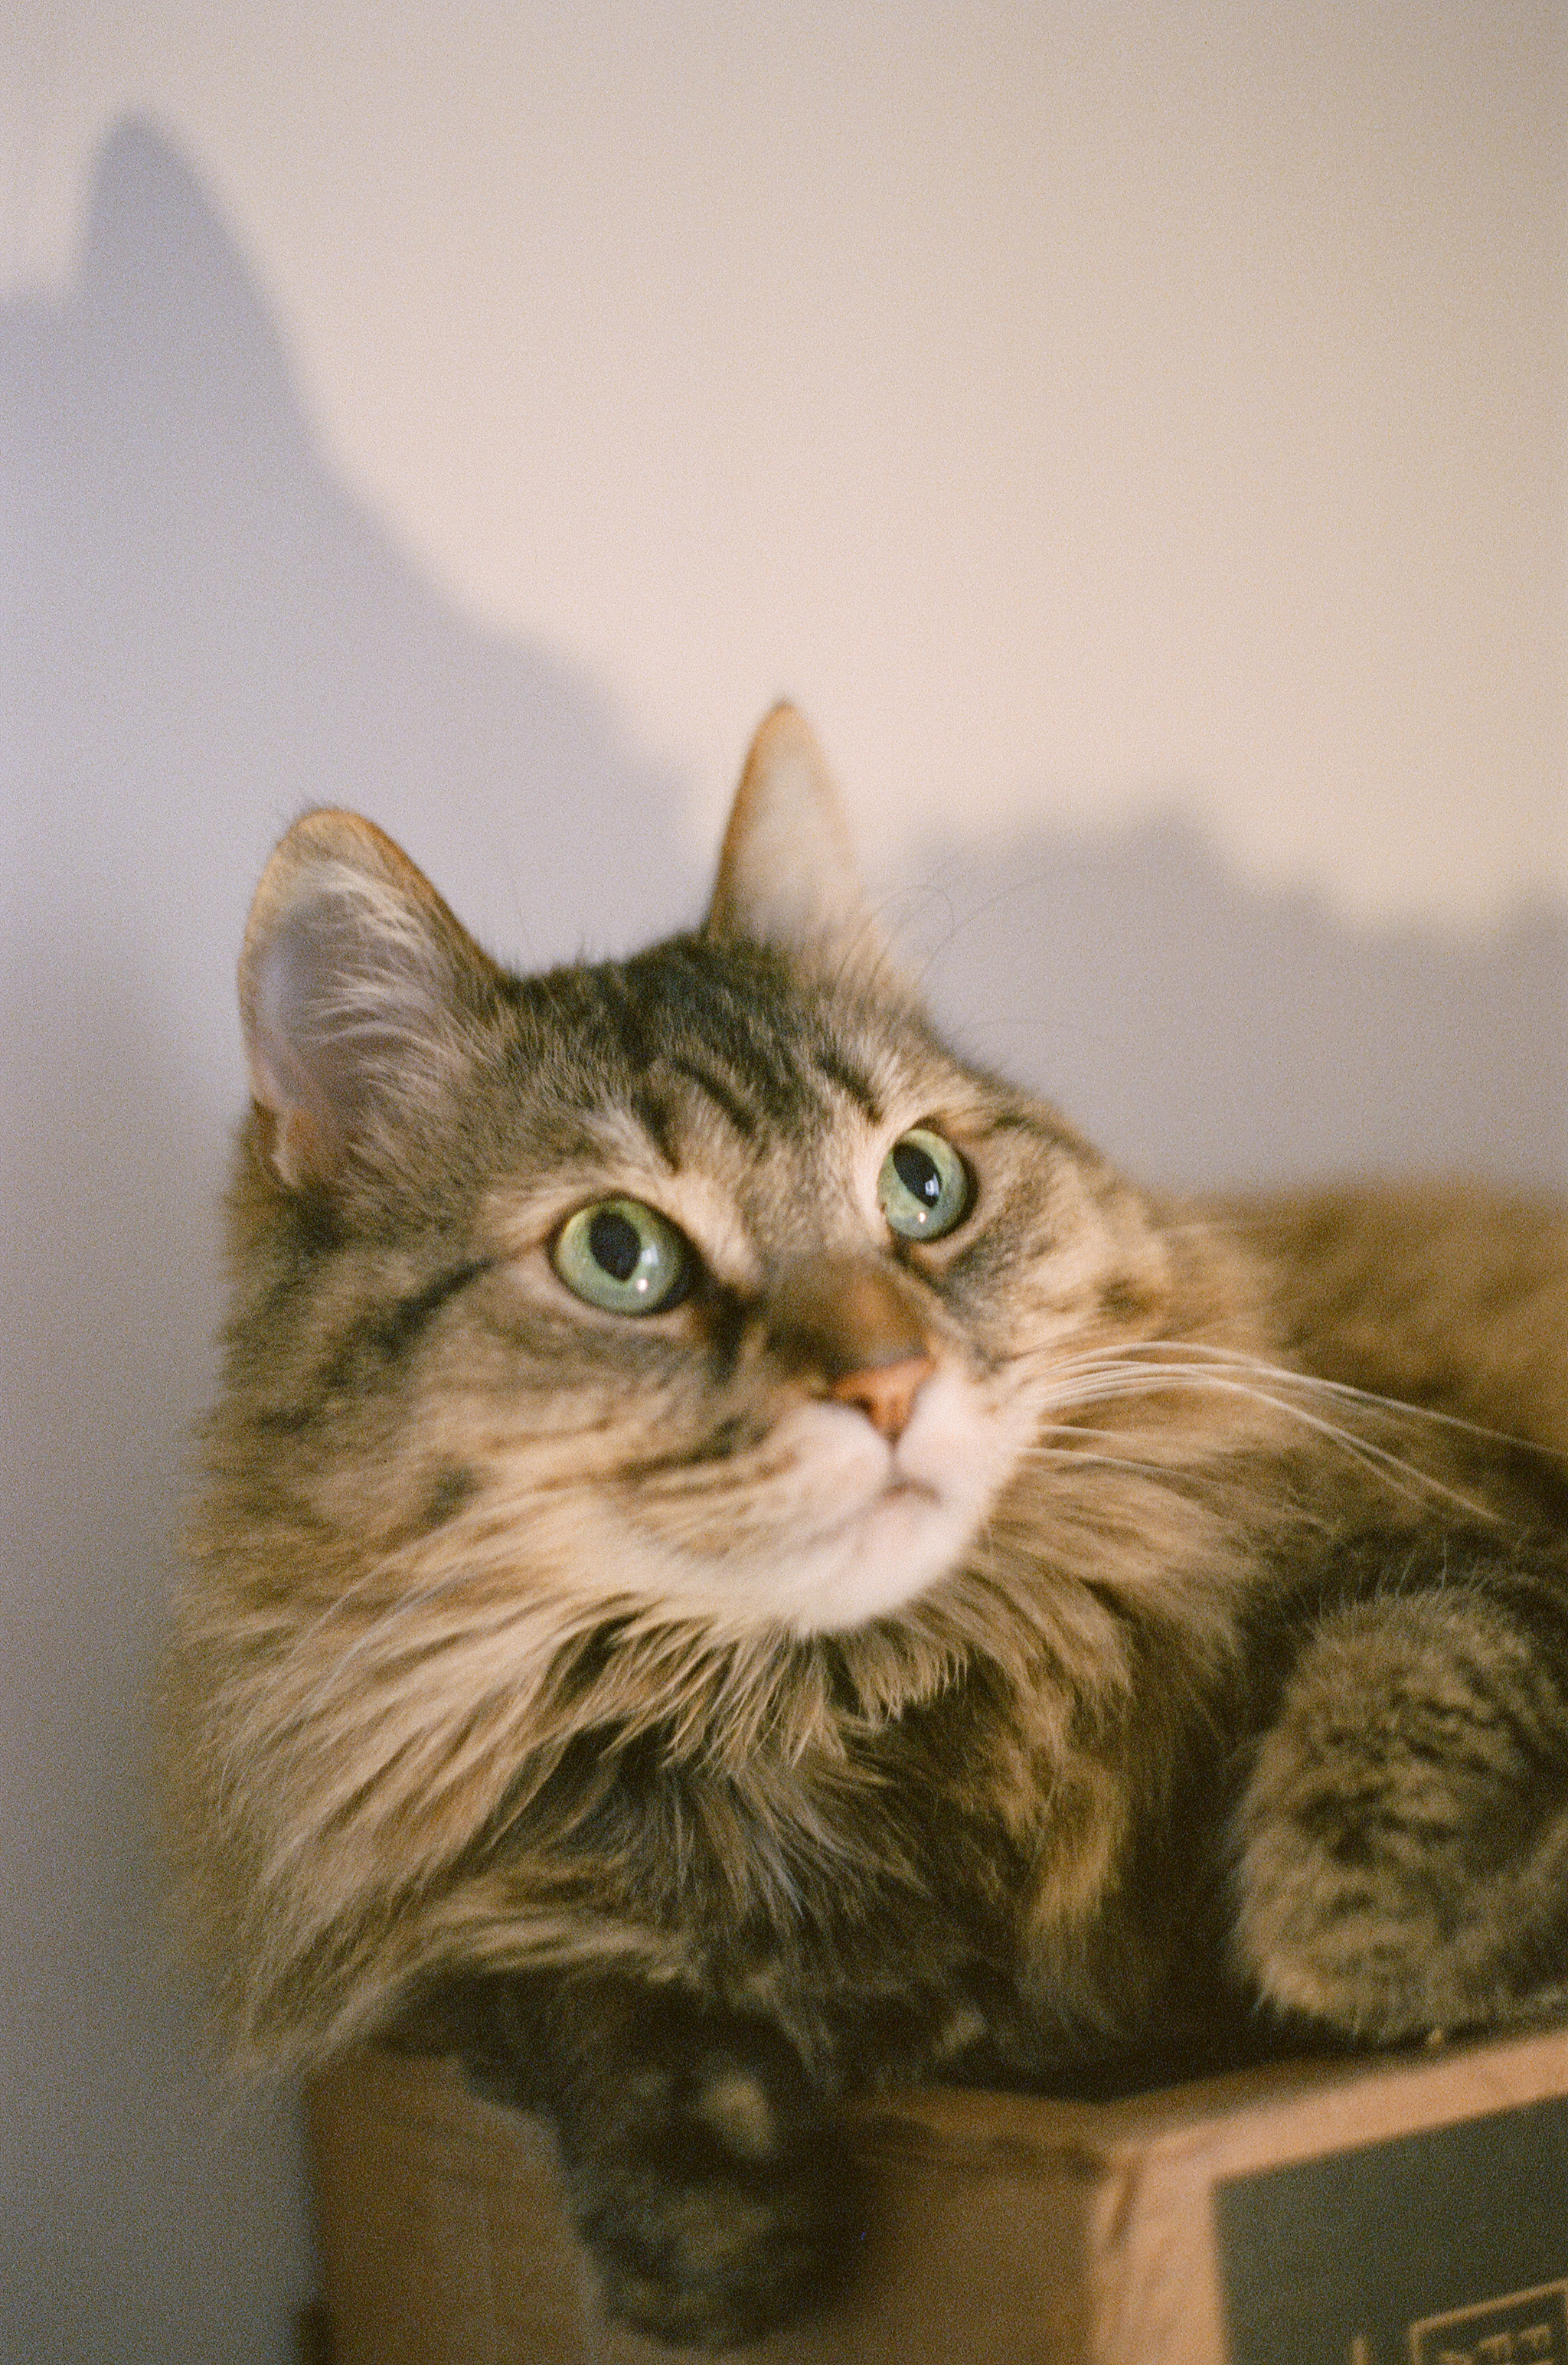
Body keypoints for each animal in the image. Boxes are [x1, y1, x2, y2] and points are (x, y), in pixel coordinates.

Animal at [162, 700, 1568, 2346]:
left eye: (922, 1181)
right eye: (617, 1253)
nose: (889, 1381)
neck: (841, 1702)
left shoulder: (1484, 1537)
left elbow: (1404, 1697)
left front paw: (1380, 1934)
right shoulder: (443, 1934)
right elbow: (564, 1993)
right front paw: (706, 2210)